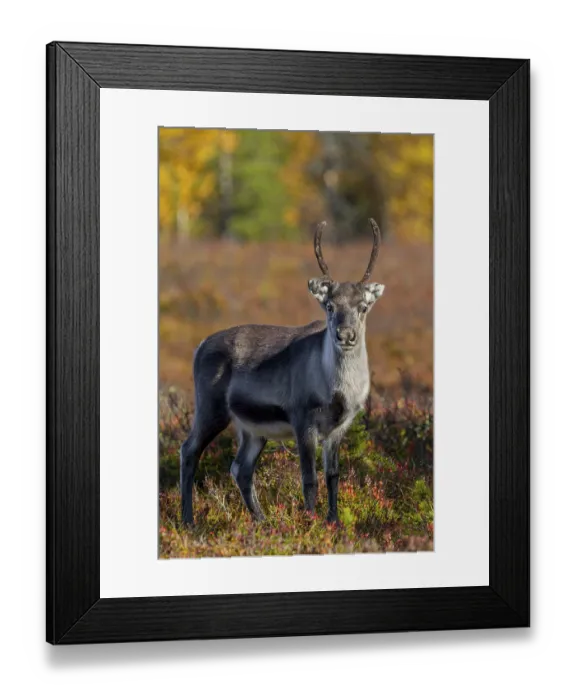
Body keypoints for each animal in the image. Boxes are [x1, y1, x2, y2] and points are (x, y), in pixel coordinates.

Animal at [180, 219, 385, 526]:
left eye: (363, 306)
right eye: (329, 305)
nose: (345, 335)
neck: (337, 389)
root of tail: (200, 346)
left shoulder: (339, 427)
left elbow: (333, 477)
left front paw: (334, 522)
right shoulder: (303, 420)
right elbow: (309, 479)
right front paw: (310, 523)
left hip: (252, 429)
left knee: (240, 468)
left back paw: (262, 522)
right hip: (210, 408)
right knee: (189, 450)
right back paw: (189, 521)